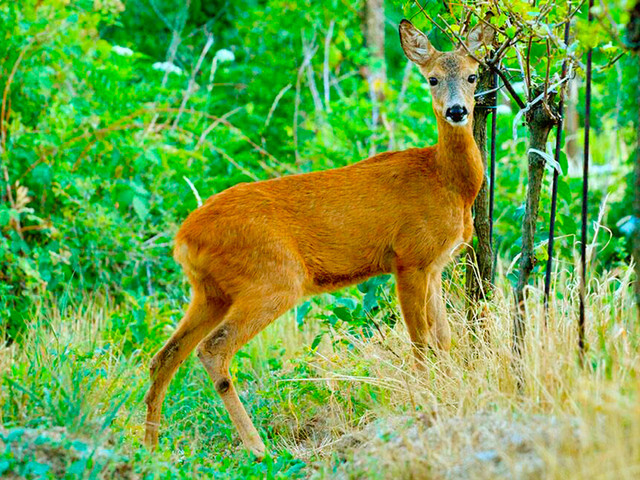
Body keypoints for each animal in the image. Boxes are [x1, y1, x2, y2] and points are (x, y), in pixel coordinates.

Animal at [144, 20, 496, 460]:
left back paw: (149, 446)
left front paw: (449, 393)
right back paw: (258, 448)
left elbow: (444, 339)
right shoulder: (408, 258)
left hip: (210, 291)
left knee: (165, 356)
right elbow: (420, 342)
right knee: (213, 349)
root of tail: (183, 238)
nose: (457, 111)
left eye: (472, 75)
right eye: (431, 78)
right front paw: (427, 402)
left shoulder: (434, 265)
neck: (447, 182)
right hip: (274, 278)